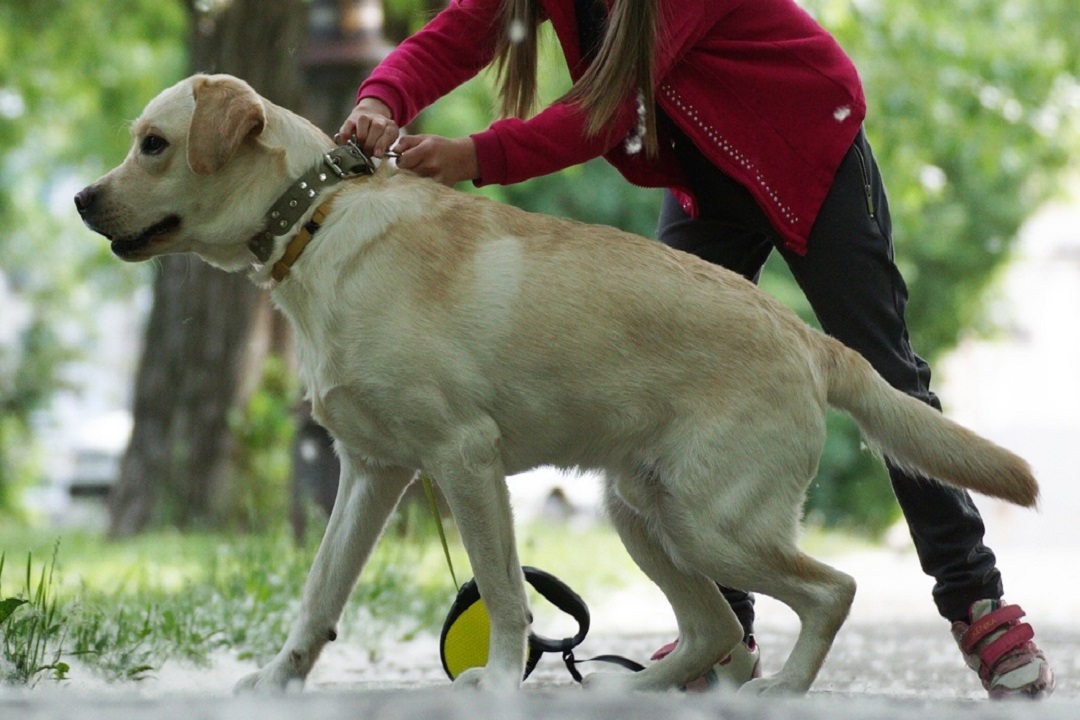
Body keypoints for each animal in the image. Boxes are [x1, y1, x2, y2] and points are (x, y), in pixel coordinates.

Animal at [76, 76, 1036, 695]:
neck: (318, 219)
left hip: (712, 522)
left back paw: (782, 689)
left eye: (153, 145)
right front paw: (280, 679)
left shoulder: (463, 462)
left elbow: (502, 595)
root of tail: (804, 335)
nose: (84, 199)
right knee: (719, 629)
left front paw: (499, 682)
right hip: (643, 513)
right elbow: (320, 591)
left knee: (828, 592)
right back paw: (626, 692)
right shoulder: (370, 472)